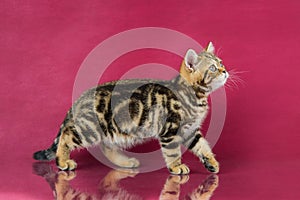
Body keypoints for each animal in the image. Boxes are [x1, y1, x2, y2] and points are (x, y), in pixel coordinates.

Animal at [32, 42, 229, 175]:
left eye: (221, 63)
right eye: (213, 68)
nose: (225, 71)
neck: (194, 95)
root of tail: (80, 99)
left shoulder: (191, 130)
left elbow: (203, 146)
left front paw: (212, 162)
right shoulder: (169, 130)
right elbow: (173, 152)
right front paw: (176, 166)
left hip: (110, 130)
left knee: (106, 146)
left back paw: (126, 163)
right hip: (91, 129)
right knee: (66, 134)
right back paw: (63, 161)